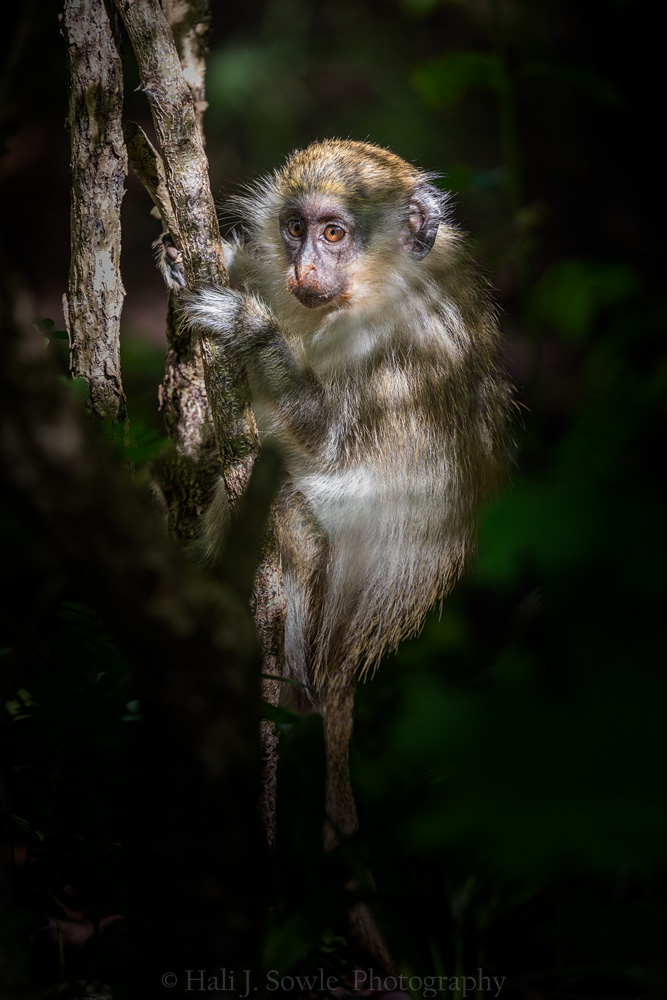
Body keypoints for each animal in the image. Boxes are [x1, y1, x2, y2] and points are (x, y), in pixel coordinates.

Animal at [159, 138, 512, 965]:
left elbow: (328, 447)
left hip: (317, 609)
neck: (370, 291)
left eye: (333, 233)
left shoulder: (407, 354)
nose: (301, 267)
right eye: (295, 227)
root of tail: (347, 650)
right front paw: (226, 265)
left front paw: (249, 328)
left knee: (287, 496)